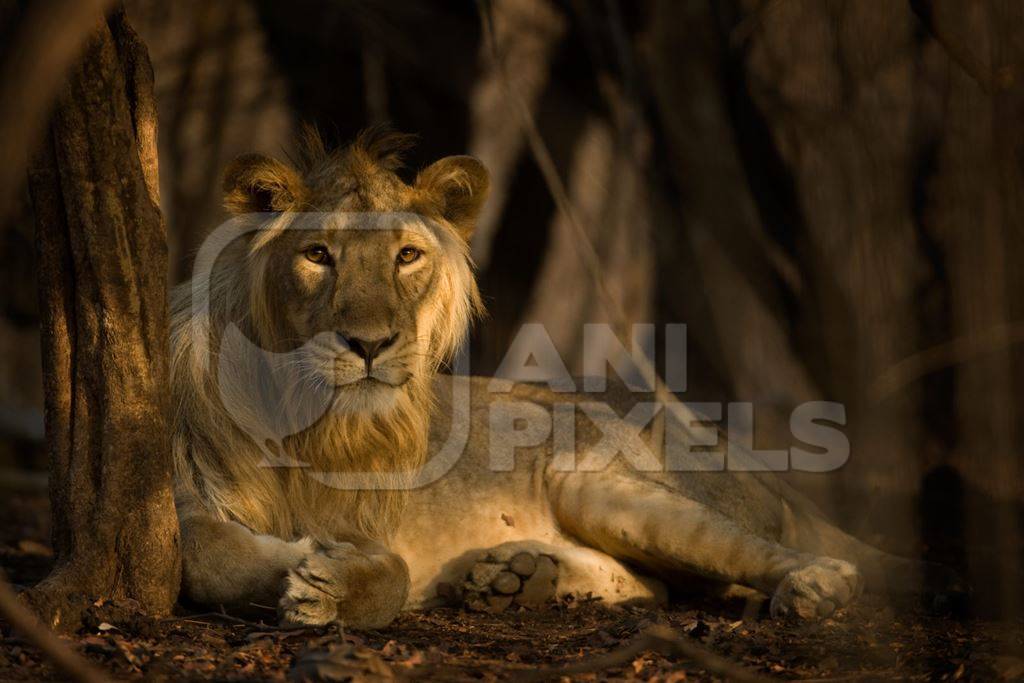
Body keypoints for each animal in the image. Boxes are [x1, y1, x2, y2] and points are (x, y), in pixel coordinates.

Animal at [172, 126, 946, 630]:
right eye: (318, 254)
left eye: (407, 256)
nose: (370, 344)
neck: (297, 414)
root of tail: (754, 463)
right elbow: (207, 553)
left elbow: (387, 573)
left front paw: (330, 580)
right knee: (656, 587)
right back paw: (512, 579)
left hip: (598, 481)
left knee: (767, 559)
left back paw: (815, 586)